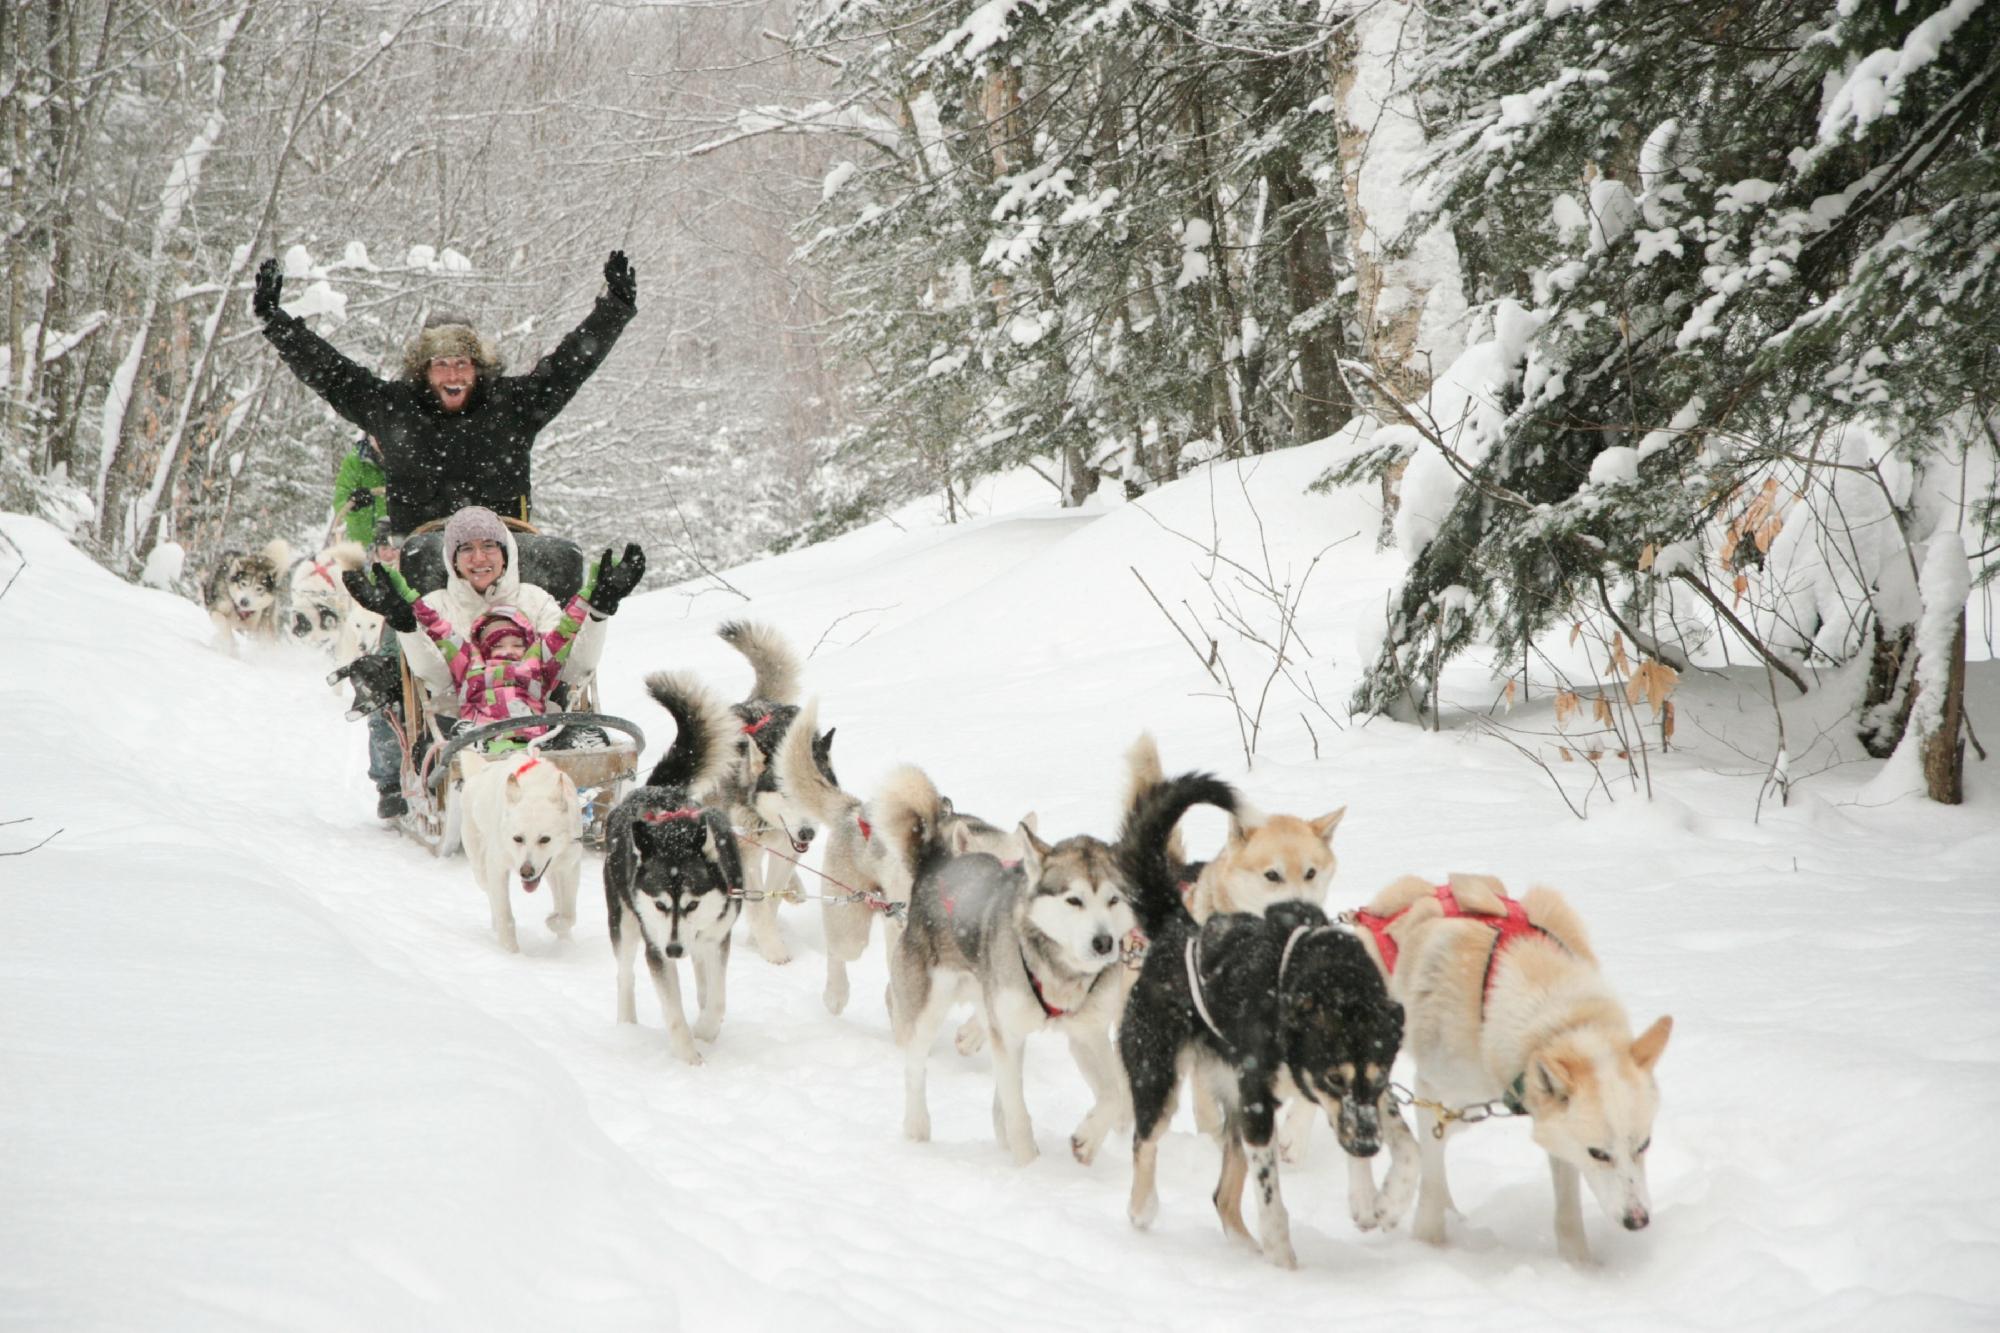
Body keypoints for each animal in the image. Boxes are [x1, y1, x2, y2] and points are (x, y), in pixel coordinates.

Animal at [454, 748, 580, 956]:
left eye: (545, 839)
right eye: (518, 838)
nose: (526, 872)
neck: (536, 787)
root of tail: (481, 771)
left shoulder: (569, 867)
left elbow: (568, 915)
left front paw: (554, 922)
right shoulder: (497, 868)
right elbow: (505, 916)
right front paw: (511, 953)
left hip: (551, 872)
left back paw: (565, 940)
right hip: (481, 869)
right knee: (491, 895)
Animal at [1360, 868, 1672, 1264]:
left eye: (1644, 1145)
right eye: (1599, 1154)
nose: (1638, 1220)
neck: (1554, 1018)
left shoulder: (1549, 1125)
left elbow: (1568, 1211)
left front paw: (1580, 1267)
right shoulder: (1430, 1091)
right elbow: (1429, 1178)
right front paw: (1428, 1243)